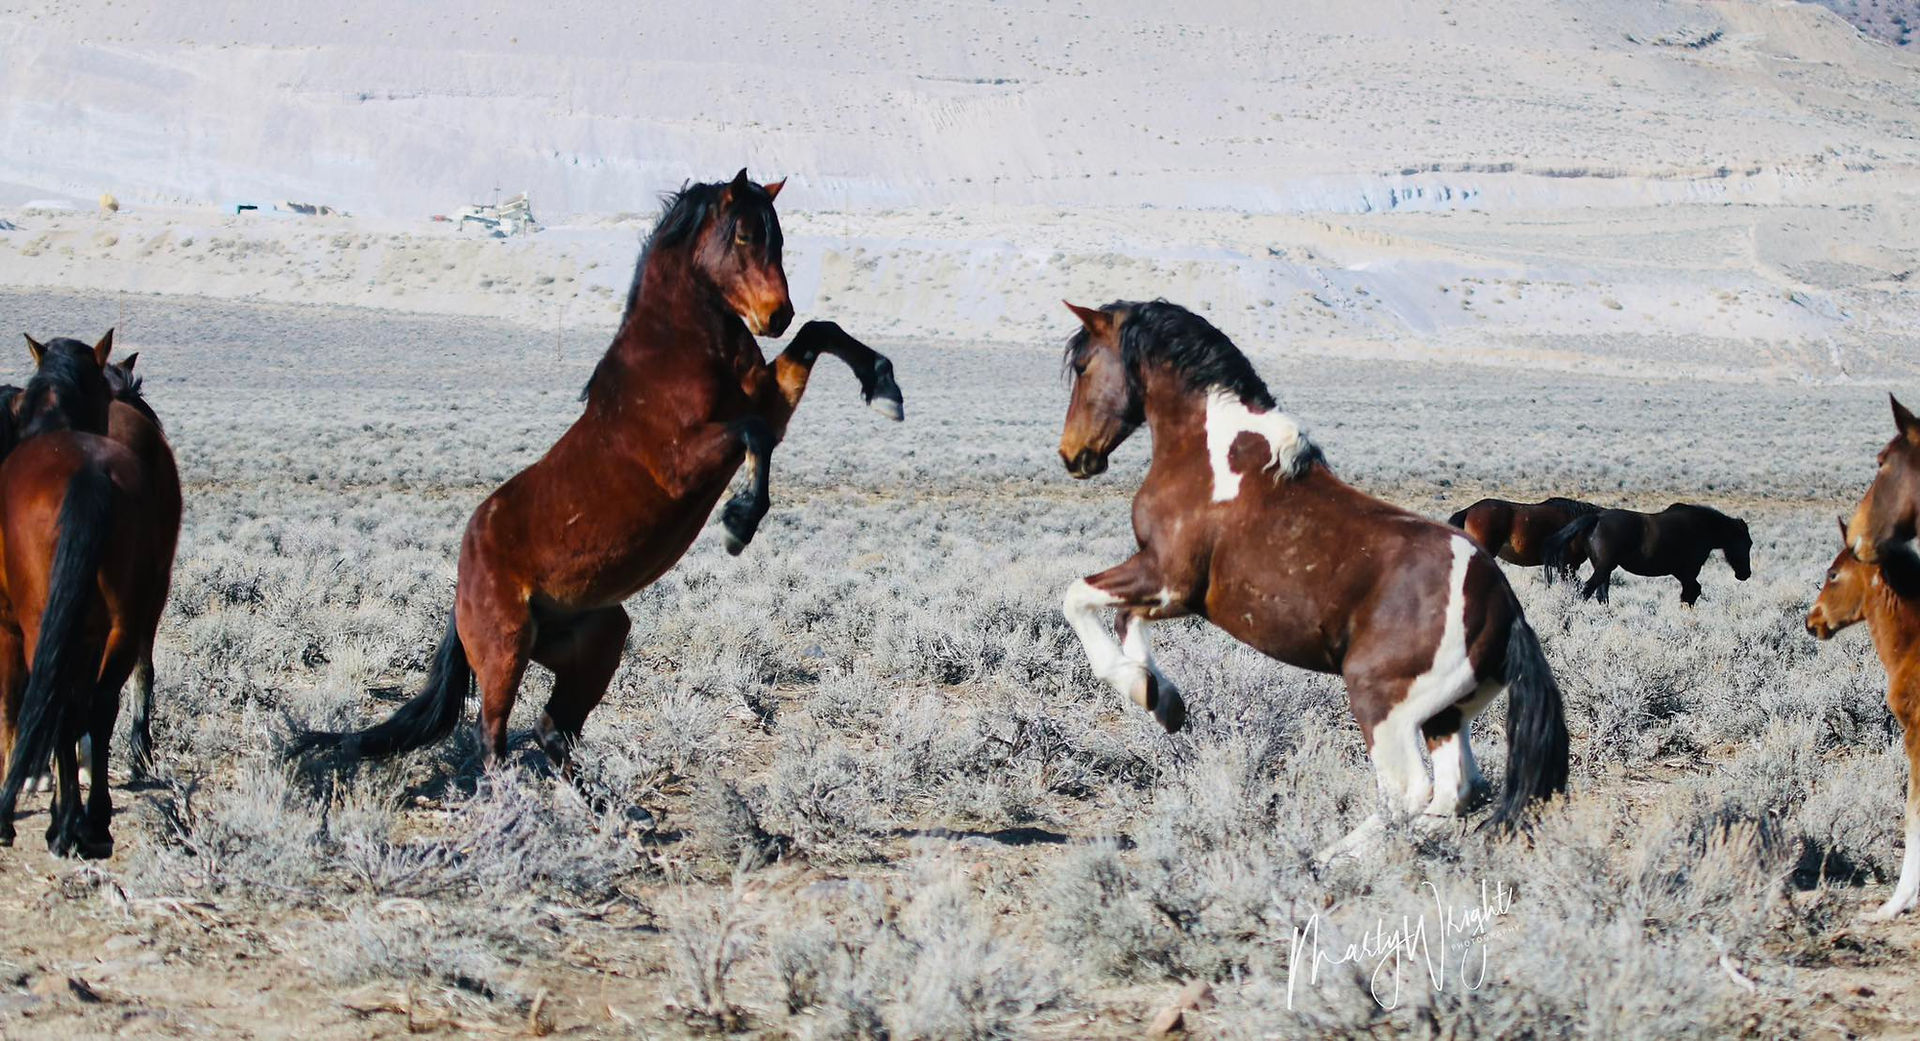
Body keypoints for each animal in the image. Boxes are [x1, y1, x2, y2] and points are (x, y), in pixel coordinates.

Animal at [0, 332, 175, 857]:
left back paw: (68, 822)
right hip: (124, 617)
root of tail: (88, 472)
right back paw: (89, 821)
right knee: (96, 702)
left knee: (69, 702)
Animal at [291, 170, 904, 776]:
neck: (679, 350)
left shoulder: (772, 401)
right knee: (493, 739)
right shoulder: (684, 461)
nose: (776, 314)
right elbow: (751, 432)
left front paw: (884, 390)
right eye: (744, 236)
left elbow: (819, 337)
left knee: (551, 729)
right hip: (506, 647)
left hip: (600, 637)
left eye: (776, 237)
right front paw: (738, 523)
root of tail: (463, 571)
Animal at [1055, 299, 1568, 850]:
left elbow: (1077, 597)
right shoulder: (1164, 590)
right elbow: (1125, 622)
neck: (1211, 454)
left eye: (1082, 366)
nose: (1073, 455)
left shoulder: (1166, 578)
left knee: (1408, 791)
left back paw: (1324, 858)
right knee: (1460, 790)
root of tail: (1505, 611)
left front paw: (1144, 688)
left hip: (1381, 701)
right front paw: (1159, 698)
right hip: (1445, 714)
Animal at [1544, 504, 1751, 605]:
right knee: (1585, 591)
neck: (1704, 527)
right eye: (1747, 543)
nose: (1745, 574)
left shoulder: (1682, 573)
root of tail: (1596, 518)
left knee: (1600, 595)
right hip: (1603, 568)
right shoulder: (1688, 571)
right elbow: (1691, 593)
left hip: (1604, 569)